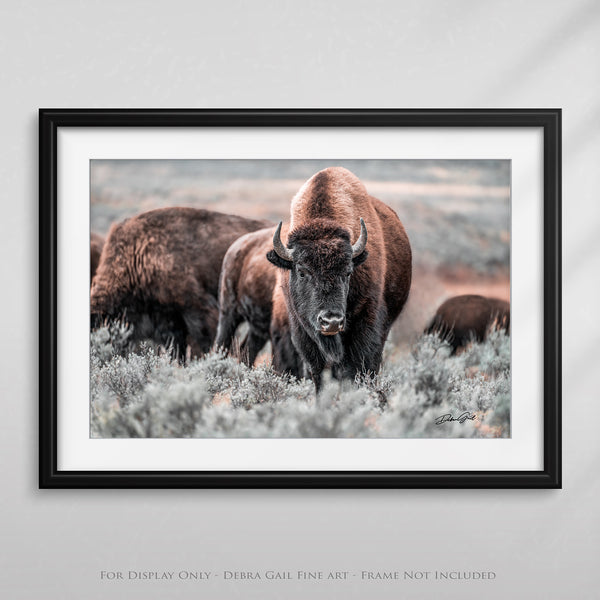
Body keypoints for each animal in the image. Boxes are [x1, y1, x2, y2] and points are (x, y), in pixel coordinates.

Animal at [268, 168, 412, 394]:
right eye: (302, 272)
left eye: (348, 272)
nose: (332, 321)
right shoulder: (303, 331)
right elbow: (320, 373)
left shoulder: (367, 323)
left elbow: (359, 367)